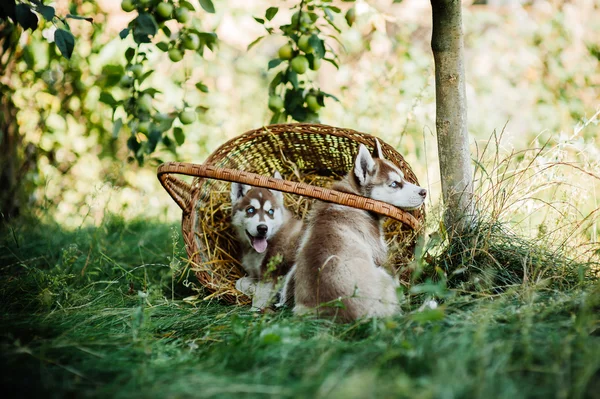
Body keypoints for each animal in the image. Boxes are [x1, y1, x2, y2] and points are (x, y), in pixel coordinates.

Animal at [232, 172, 302, 310]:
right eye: (250, 210)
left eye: (270, 211)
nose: (263, 228)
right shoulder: (255, 271)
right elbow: (239, 282)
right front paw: (251, 287)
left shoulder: (270, 274)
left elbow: (259, 299)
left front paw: (254, 310)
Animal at [282, 141, 426, 322]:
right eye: (394, 184)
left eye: (403, 177)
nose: (424, 192)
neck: (354, 197)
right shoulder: (379, 253)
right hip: (382, 277)